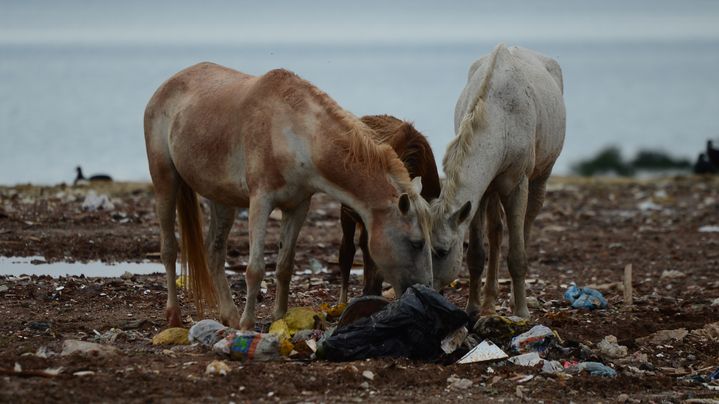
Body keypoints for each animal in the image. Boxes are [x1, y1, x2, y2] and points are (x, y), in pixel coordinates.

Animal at [143, 62, 430, 328]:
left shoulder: (298, 206)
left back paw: (229, 317)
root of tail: (165, 87)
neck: (295, 134)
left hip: (222, 199)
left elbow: (284, 266)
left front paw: (279, 317)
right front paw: (248, 324)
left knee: (214, 251)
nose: (424, 289)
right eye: (416, 243)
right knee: (169, 249)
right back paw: (175, 316)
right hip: (165, 181)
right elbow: (255, 269)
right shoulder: (260, 202)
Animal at [430, 43, 564, 316]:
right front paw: (472, 308)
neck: (501, 118)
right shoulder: (479, 194)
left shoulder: (517, 185)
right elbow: (476, 254)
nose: (425, 288)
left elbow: (517, 255)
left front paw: (521, 312)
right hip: (492, 190)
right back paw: (489, 301)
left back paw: (513, 301)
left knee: (526, 225)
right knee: (496, 232)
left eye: (442, 251)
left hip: (539, 179)